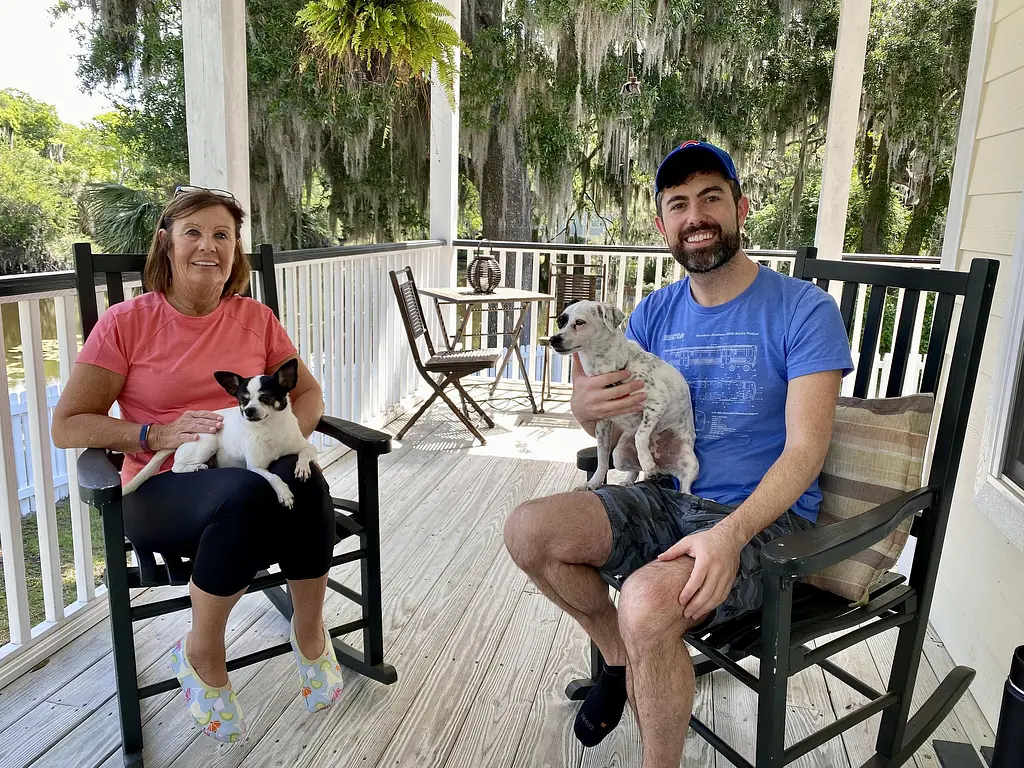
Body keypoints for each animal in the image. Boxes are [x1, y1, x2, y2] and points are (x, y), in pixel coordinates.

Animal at [122, 358, 317, 507]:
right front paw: (284, 493)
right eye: (243, 400)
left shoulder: (309, 448)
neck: (270, 428)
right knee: (176, 467)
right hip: (208, 441)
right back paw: (196, 467)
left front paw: (302, 467)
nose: (249, 411)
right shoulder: (256, 467)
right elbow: (274, 477)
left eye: (266, 397)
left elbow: (304, 453)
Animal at [548, 301, 700, 493]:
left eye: (580, 322)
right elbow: (602, 459)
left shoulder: (656, 404)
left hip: (690, 461)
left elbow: (640, 436)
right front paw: (594, 483)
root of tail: (663, 466)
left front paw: (647, 461)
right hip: (619, 455)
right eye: (560, 322)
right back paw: (631, 480)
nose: (553, 339)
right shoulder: (603, 423)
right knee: (634, 470)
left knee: (685, 488)